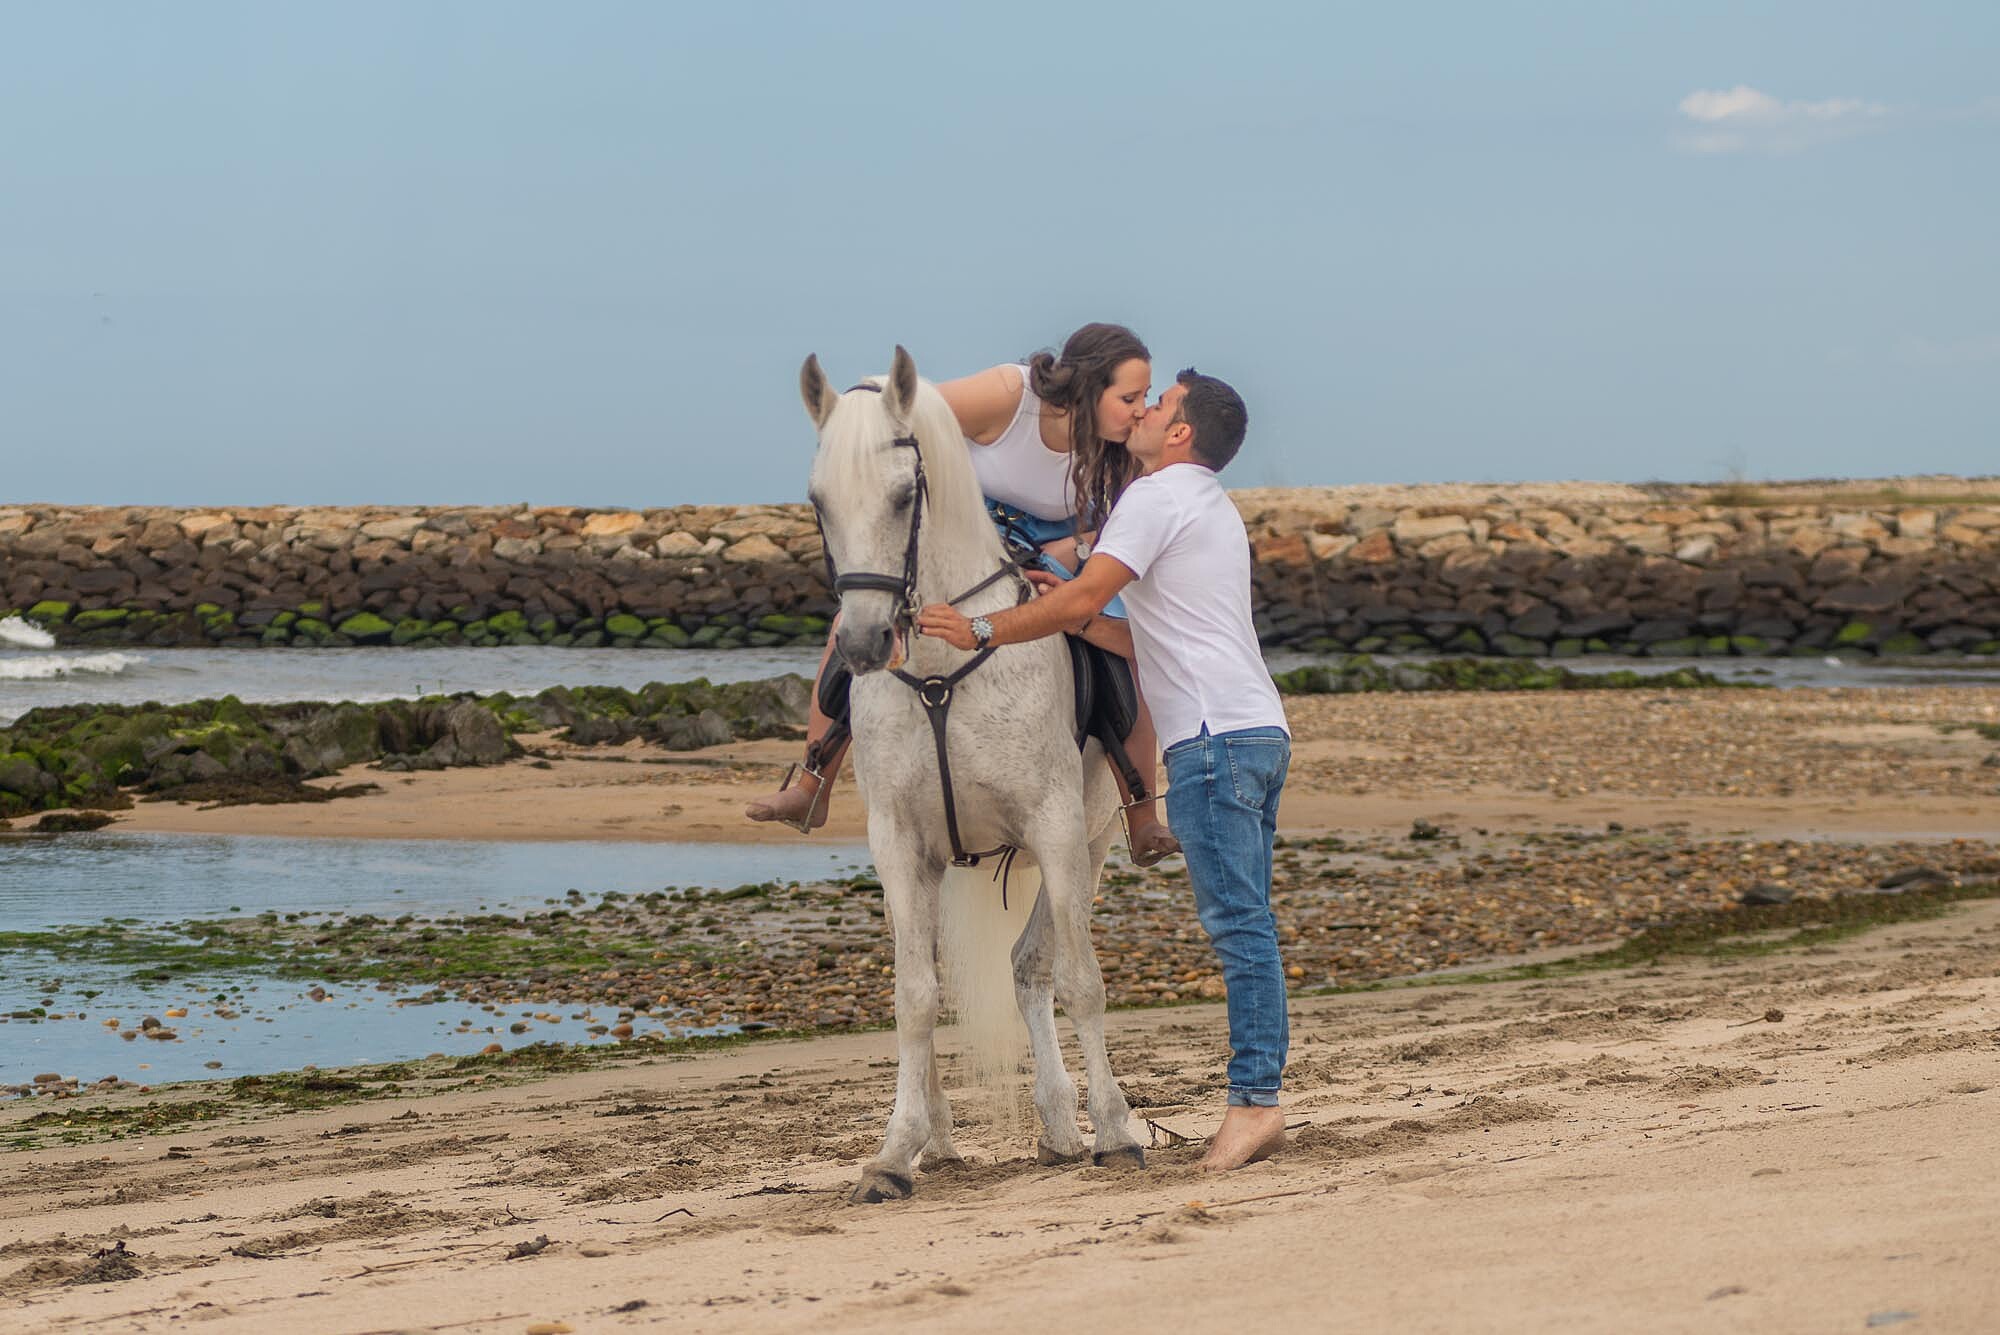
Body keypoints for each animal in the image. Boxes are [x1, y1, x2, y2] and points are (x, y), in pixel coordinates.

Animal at [801, 345, 1146, 1204]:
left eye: (903, 495)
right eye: (818, 501)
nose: (863, 642)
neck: (940, 667)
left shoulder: (1056, 826)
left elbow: (1081, 979)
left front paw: (1116, 1131)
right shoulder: (899, 844)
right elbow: (914, 996)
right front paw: (895, 1151)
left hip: (1090, 842)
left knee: (1034, 967)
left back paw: (1072, 1123)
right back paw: (955, 1133)